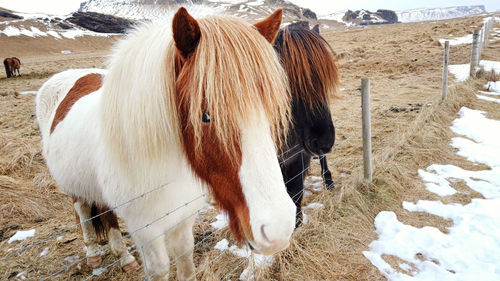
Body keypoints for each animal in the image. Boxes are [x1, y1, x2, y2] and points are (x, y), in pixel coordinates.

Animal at [38, 7, 296, 278]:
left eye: (269, 109)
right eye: (205, 116)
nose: (278, 228)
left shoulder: (183, 217)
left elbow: (185, 258)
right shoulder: (145, 230)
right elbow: (160, 268)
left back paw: (124, 257)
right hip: (74, 187)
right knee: (83, 211)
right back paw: (92, 253)